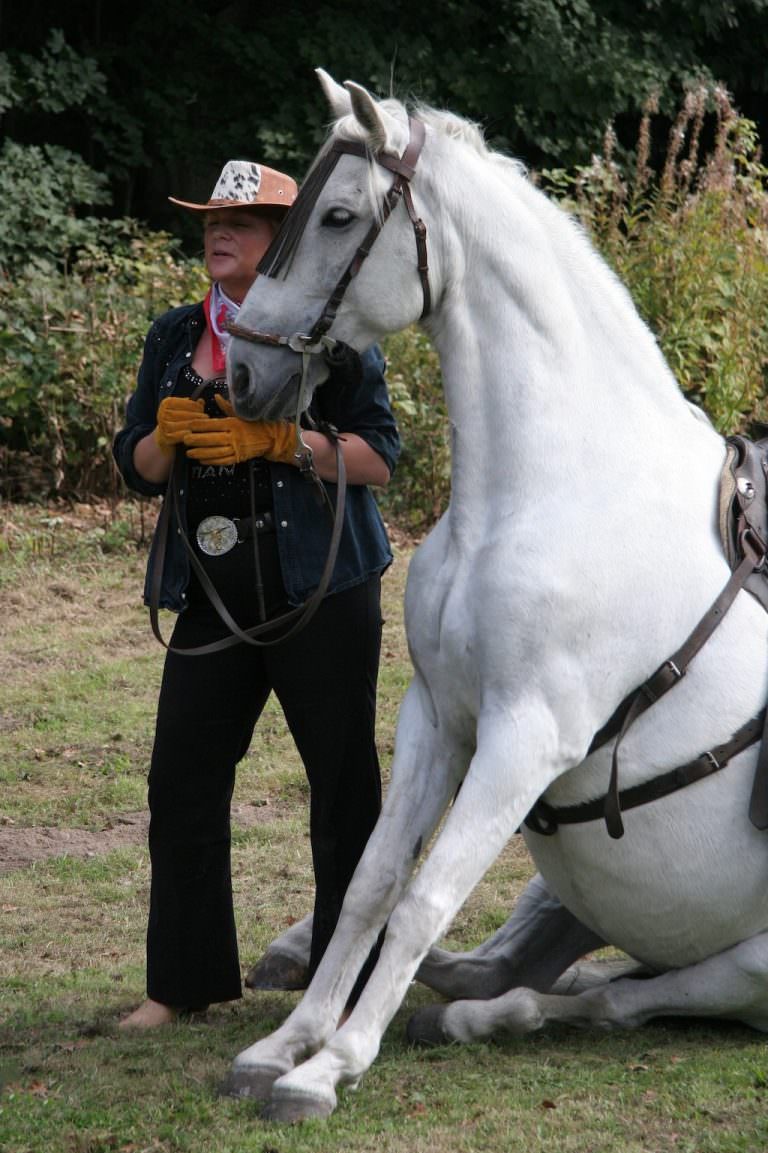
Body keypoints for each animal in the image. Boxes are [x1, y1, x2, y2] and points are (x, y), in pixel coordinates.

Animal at [220, 70, 768, 1122]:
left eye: (339, 216)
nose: (242, 372)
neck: (553, 487)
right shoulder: (440, 715)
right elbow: (374, 883)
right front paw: (284, 1042)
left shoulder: (524, 737)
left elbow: (422, 898)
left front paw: (328, 1065)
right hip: (564, 898)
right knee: (510, 966)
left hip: (748, 966)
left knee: (613, 999)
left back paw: (489, 1016)